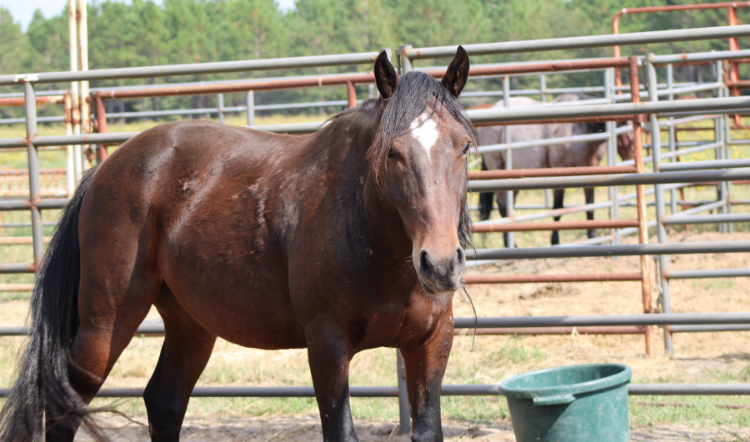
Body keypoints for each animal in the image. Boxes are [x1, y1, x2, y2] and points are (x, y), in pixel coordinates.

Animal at [1, 49, 476, 442]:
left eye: (464, 148)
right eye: (392, 152)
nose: (440, 264)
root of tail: (106, 168)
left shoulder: (432, 344)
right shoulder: (327, 346)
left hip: (191, 324)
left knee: (164, 401)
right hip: (104, 325)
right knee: (65, 406)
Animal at [476, 94, 636, 247]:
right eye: (627, 133)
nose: (632, 157)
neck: (578, 128)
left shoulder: (591, 171)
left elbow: (590, 206)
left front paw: (593, 237)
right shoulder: (560, 174)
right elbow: (558, 208)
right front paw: (555, 241)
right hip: (498, 169)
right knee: (503, 205)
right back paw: (511, 244)